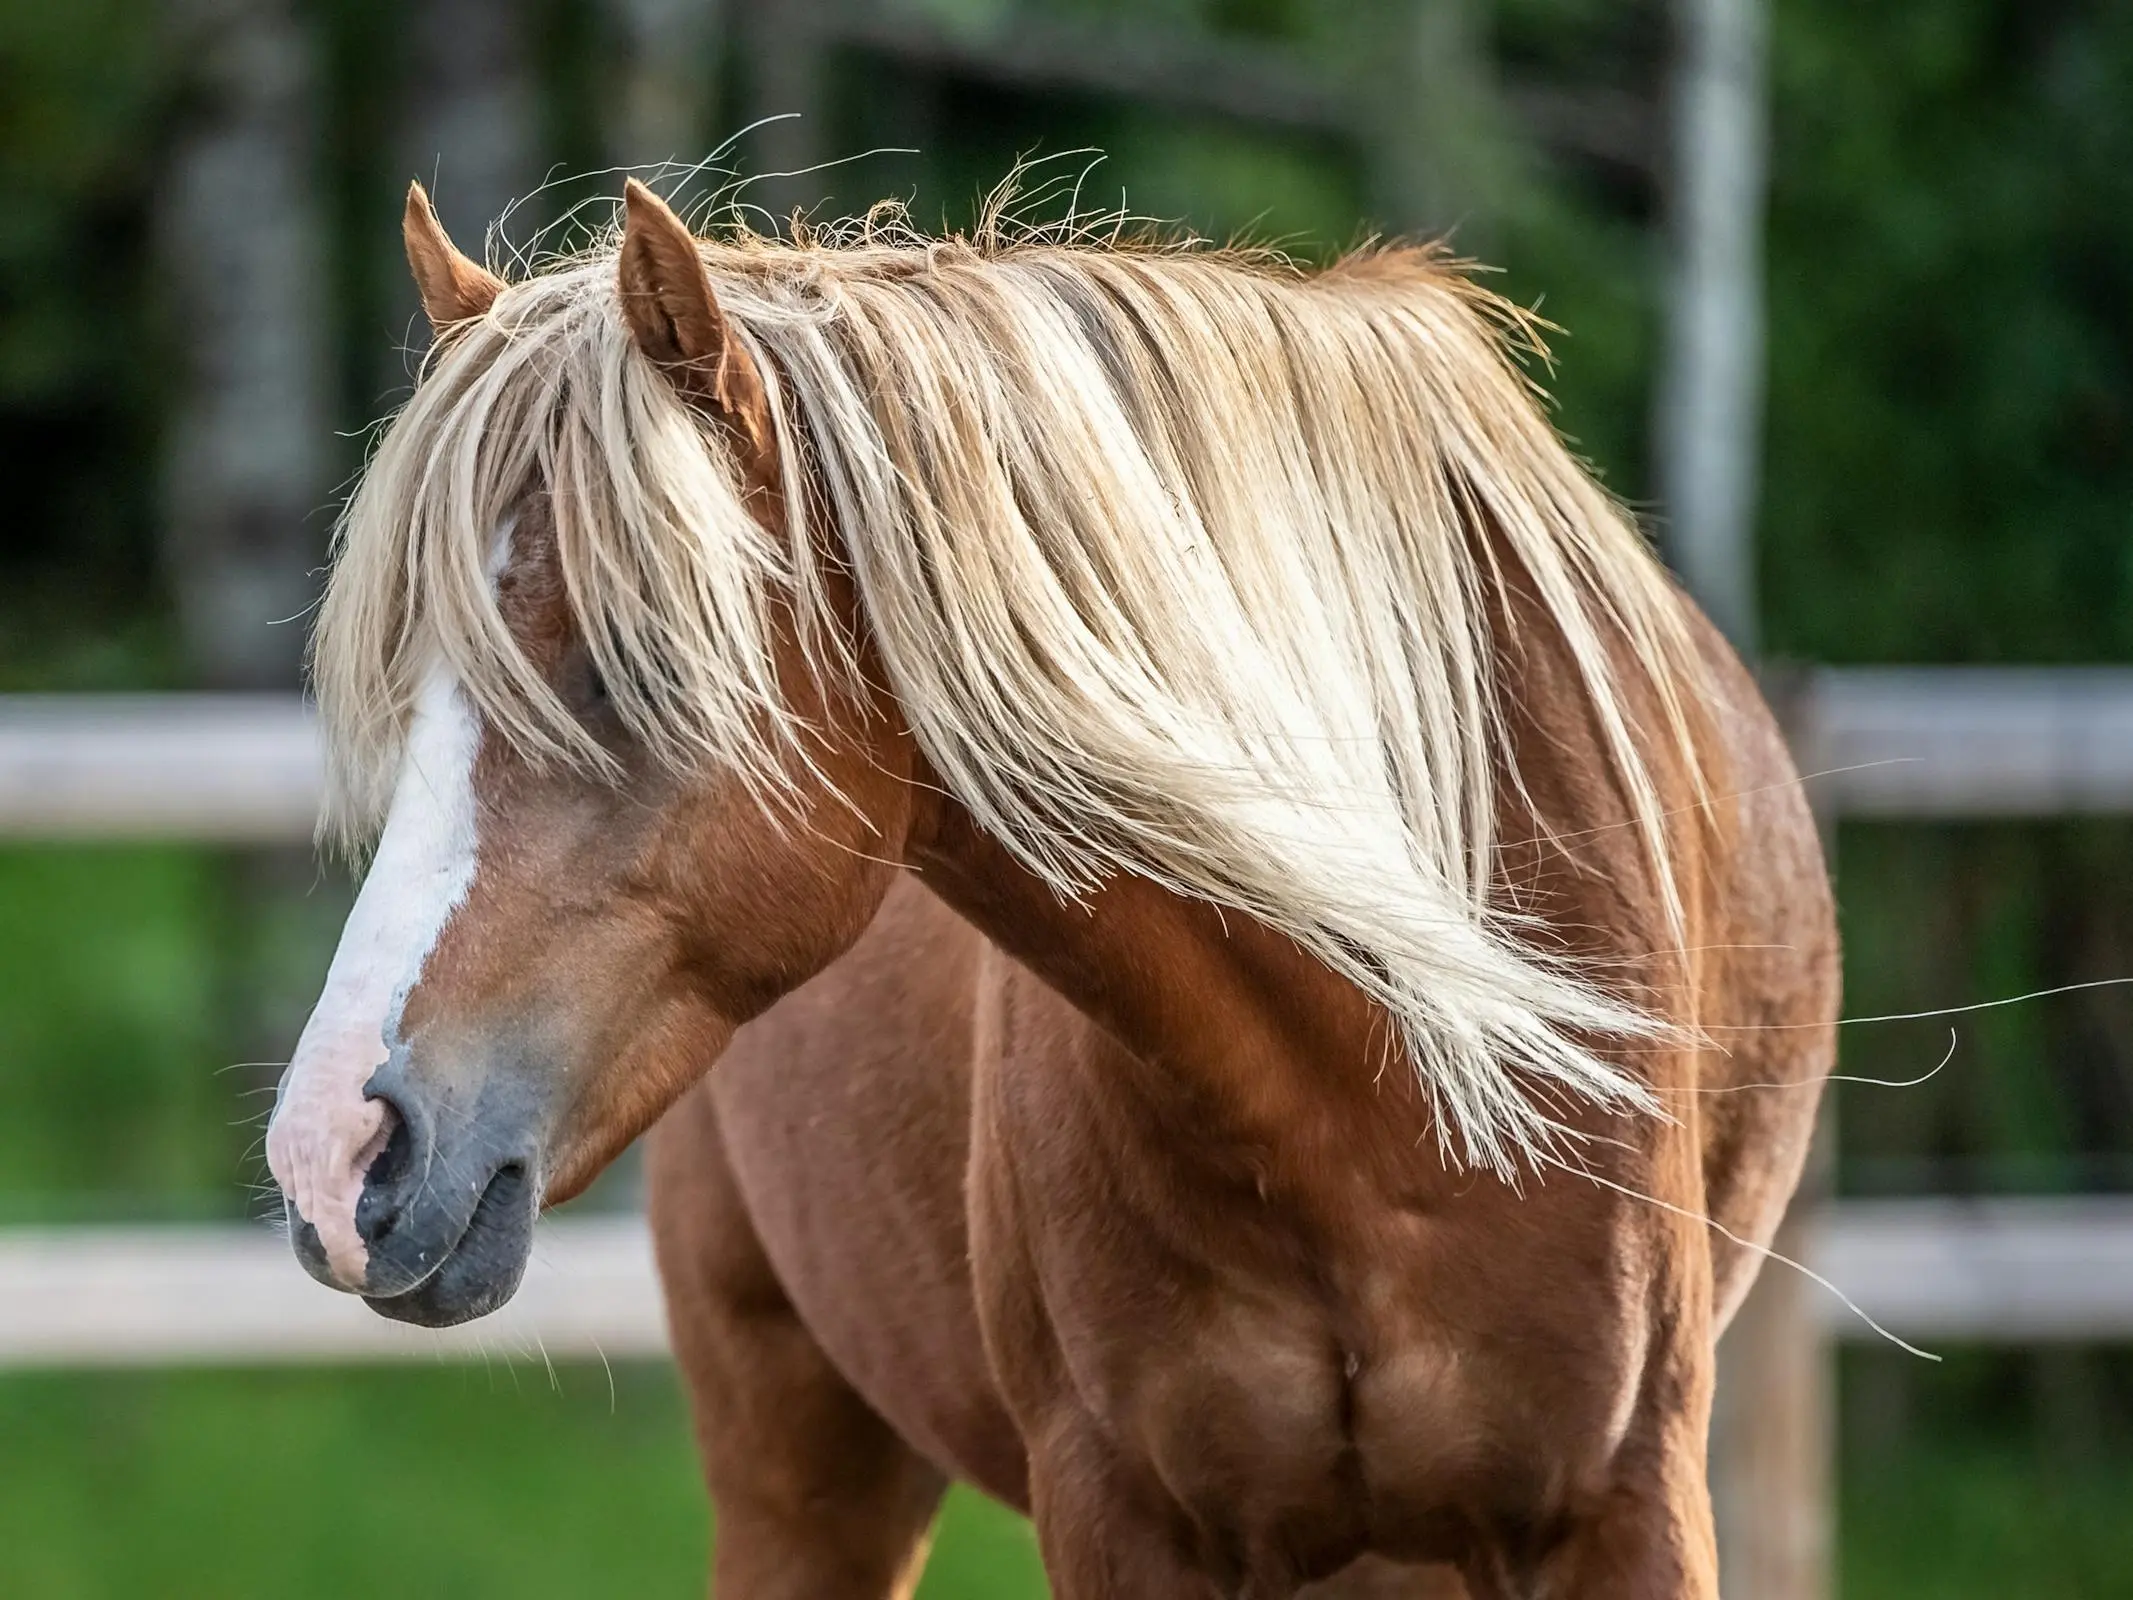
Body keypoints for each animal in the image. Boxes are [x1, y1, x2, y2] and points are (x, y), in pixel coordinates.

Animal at [262, 178, 1834, 1600]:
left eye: (627, 663)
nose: (336, 1156)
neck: (1374, 1105)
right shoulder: (1122, 1515)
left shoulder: (1627, 1508)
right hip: (801, 1465)